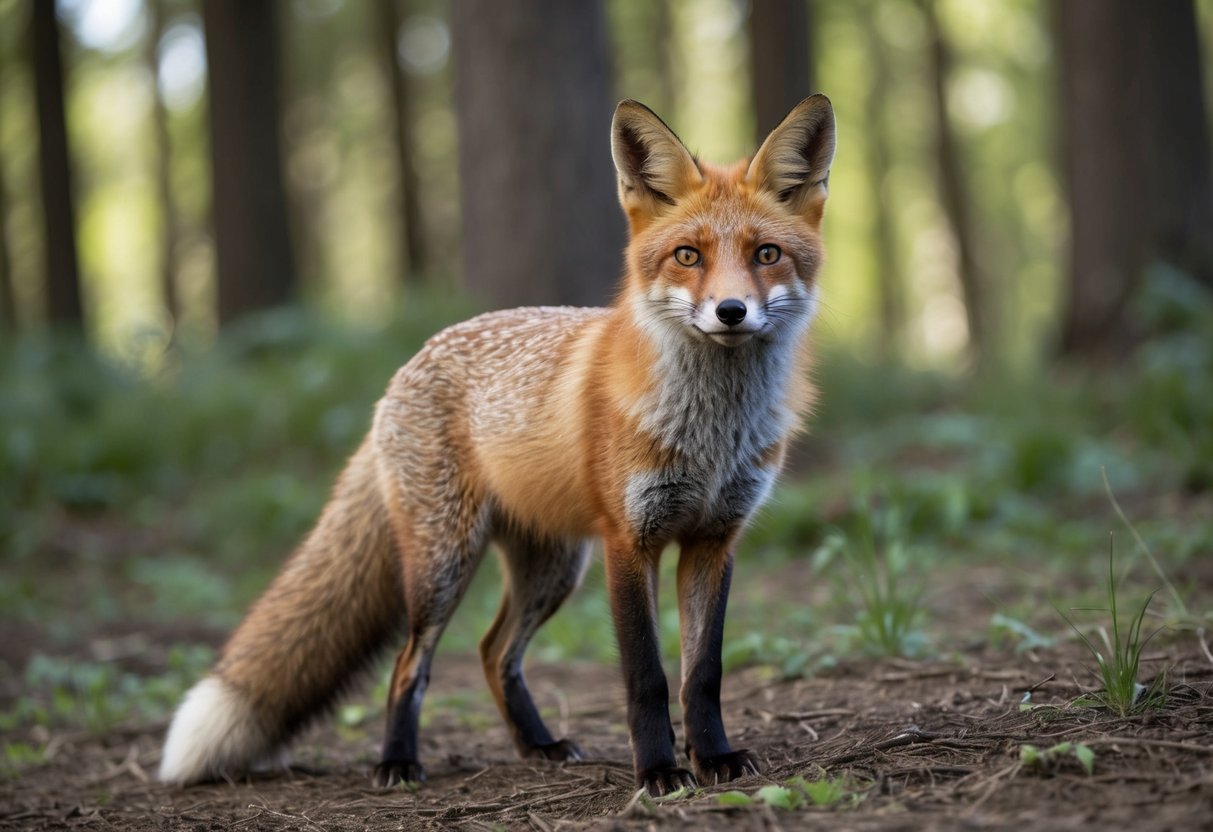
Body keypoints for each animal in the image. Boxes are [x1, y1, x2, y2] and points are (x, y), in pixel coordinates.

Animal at [159, 94, 836, 796]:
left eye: (765, 254)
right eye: (687, 256)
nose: (731, 311)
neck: (710, 433)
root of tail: (407, 366)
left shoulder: (714, 539)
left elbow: (703, 673)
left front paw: (715, 759)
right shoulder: (630, 541)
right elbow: (646, 677)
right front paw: (657, 772)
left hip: (552, 568)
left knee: (493, 652)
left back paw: (537, 744)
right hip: (444, 565)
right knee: (409, 662)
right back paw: (397, 761)